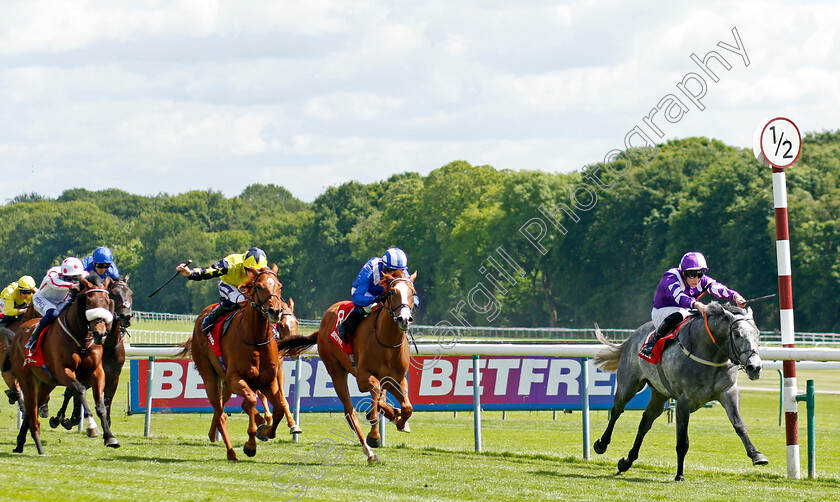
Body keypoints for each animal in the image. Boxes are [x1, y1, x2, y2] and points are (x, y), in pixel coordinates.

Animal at [9, 274, 120, 454]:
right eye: (89, 302)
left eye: (106, 301)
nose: (100, 333)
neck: (81, 339)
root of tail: (22, 328)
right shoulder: (63, 371)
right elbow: (80, 391)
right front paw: (91, 427)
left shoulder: (97, 372)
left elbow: (101, 405)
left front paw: (110, 437)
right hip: (27, 377)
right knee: (31, 405)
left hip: (46, 383)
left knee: (34, 407)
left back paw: (20, 443)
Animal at [49, 276, 133, 434]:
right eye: (113, 294)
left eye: (131, 293)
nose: (126, 316)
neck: (107, 347)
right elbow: (74, 394)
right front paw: (69, 419)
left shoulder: (112, 378)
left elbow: (106, 401)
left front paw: (106, 424)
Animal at [180, 264, 302, 460]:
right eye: (259, 286)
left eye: (279, 285)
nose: (275, 311)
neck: (256, 338)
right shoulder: (237, 379)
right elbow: (251, 401)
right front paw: (251, 443)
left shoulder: (270, 378)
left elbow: (279, 406)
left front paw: (269, 430)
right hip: (210, 377)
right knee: (220, 413)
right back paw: (230, 451)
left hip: (226, 383)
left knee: (222, 408)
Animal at [278, 270, 418, 462]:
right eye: (391, 292)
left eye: (412, 292)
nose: (404, 319)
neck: (387, 341)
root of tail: (322, 326)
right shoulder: (363, 377)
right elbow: (376, 396)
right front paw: (375, 435)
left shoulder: (397, 378)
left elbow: (407, 407)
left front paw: (401, 421)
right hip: (336, 371)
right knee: (350, 412)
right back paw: (369, 450)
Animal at [592, 302, 768, 482]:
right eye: (737, 334)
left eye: (757, 333)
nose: (755, 367)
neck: (709, 353)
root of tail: (631, 337)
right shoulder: (684, 401)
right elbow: (682, 442)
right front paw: (679, 475)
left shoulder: (728, 392)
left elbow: (739, 425)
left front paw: (756, 455)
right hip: (629, 384)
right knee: (617, 410)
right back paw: (602, 444)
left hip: (659, 394)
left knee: (645, 422)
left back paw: (627, 461)